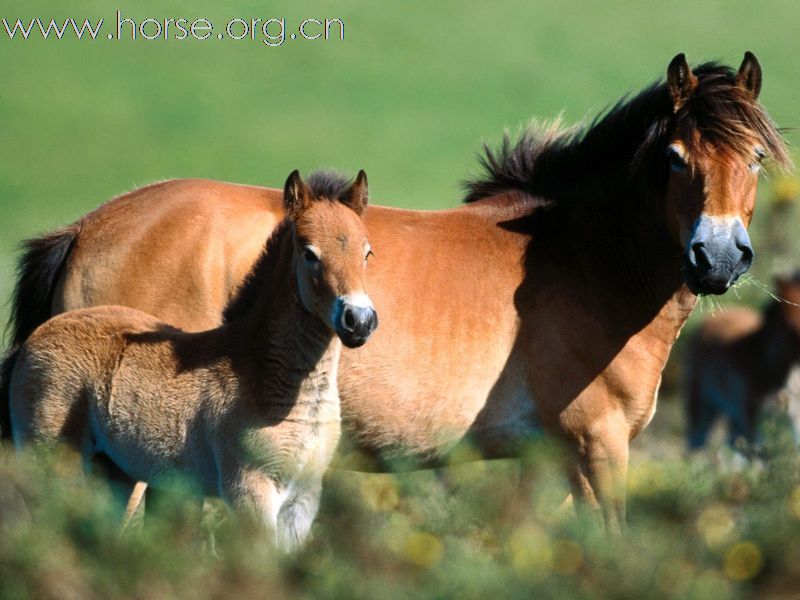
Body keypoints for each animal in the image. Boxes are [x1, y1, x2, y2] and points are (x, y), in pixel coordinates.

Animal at [1, 52, 788, 528]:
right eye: (677, 157)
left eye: (753, 156)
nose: (719, 256)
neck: (581, 255)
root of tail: (82, 229)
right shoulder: (598, 445)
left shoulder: (555, 460)